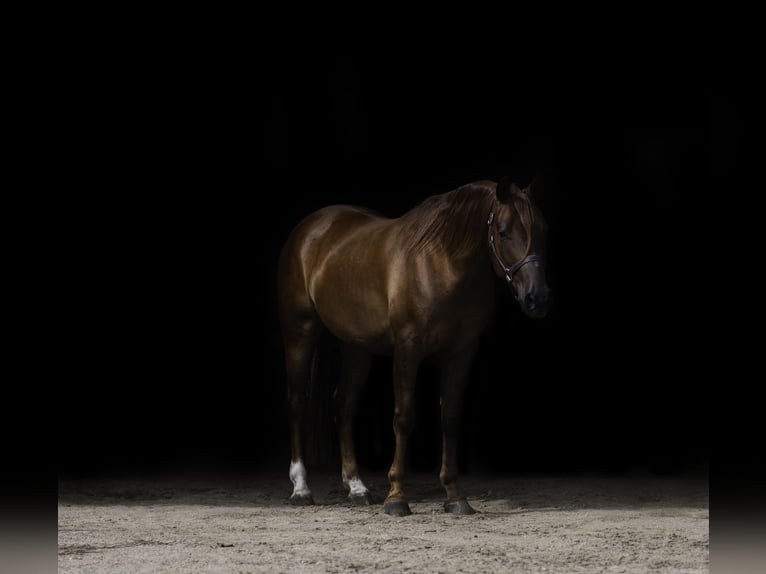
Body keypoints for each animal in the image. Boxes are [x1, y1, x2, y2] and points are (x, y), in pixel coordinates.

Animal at [277, 177, 551, 516]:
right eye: (502, 231)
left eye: (543, 229)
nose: (537, 298)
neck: (441, 263)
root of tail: (310, 228)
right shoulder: (408, 349)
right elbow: (404, 417)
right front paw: (396, 497)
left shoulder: (462, 352)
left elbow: (450, 418)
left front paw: (455, 496)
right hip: (299, 331)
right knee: (297, 402)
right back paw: (301, 488)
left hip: (356, 348)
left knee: (344, 405)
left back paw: (356, 487)